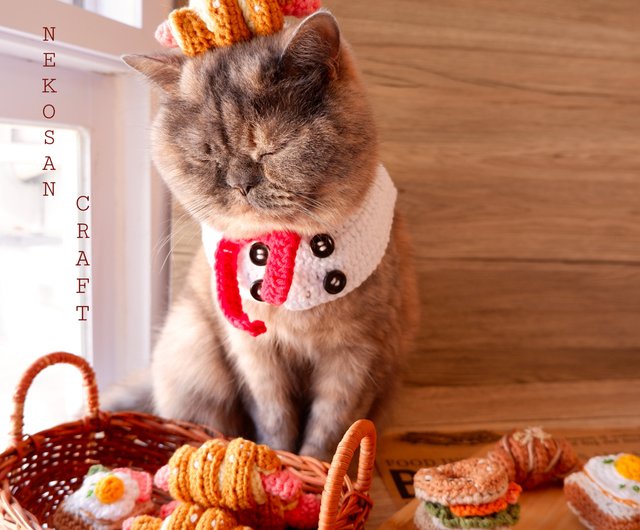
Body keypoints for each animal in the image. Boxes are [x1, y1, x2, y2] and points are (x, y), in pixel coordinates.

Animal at [120, 10, 420, 460]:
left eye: (272, 148)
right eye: (207, 155)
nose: (240, 183)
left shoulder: (356, 357)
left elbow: (330, 432)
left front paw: (317, 473)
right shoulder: (256, 355)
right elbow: (274, 419)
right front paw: (274, 459)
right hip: (190, 346)